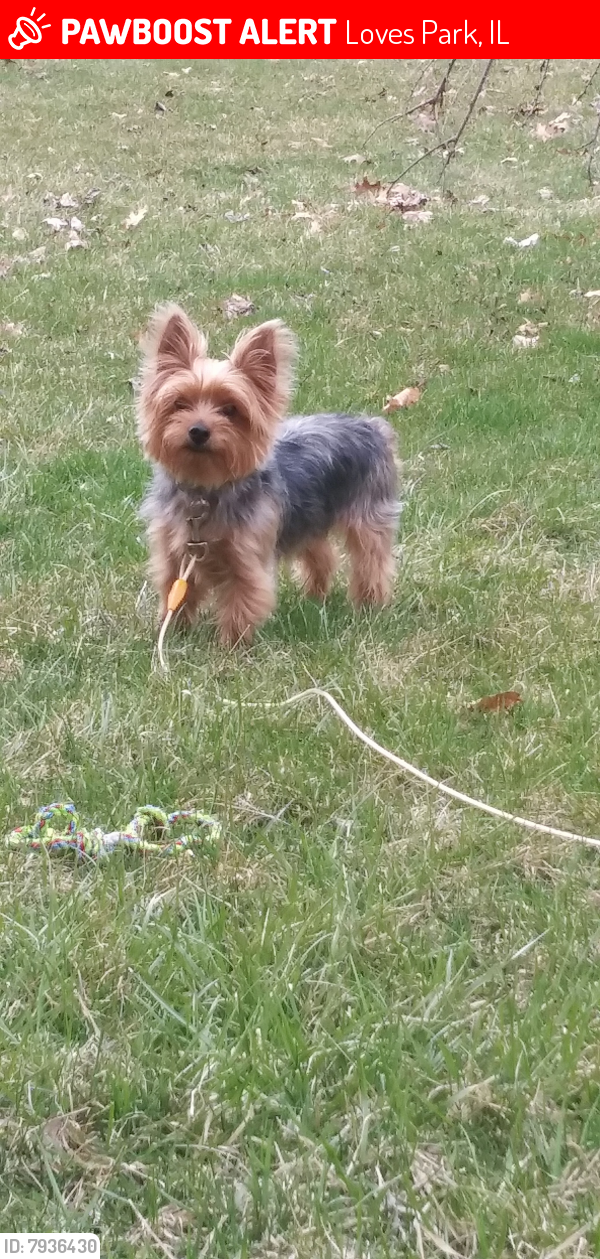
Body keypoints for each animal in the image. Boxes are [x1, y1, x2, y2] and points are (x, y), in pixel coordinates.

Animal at [137, 299, 400, 644]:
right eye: (179, 403)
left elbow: (241, 602)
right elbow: (177, 593)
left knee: (372, 560)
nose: (198, 431)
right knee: (322, 553)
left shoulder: (246, 559)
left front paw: (231, 647)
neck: (206, 488)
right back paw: (314, 596)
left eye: (231, 409)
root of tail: (371, 425)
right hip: (309, 517)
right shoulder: (175, 554)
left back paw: (370, 606)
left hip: (369, 514)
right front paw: (176, 634)